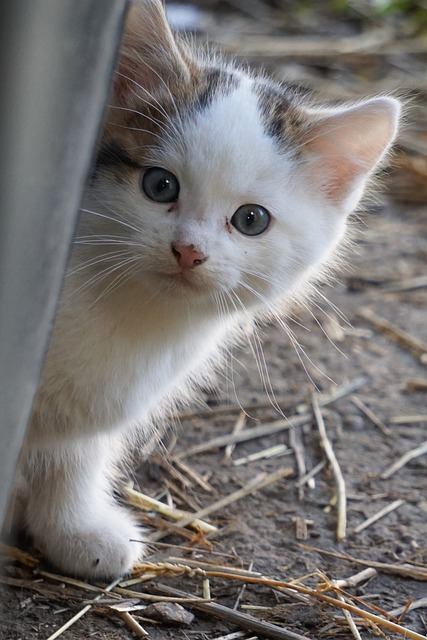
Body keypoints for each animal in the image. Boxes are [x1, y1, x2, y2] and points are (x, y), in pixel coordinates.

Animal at [14, 0, 402, 580]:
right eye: (160, 186)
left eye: (251, 220)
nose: (188, 251)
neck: (135, 313)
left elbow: (74, 454)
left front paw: (75, 529)